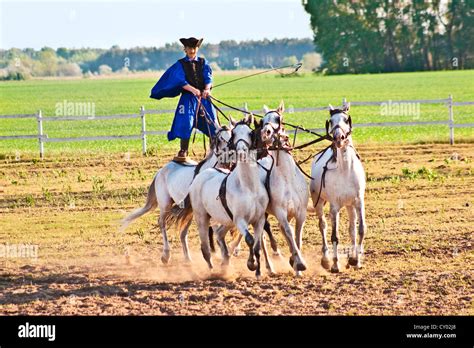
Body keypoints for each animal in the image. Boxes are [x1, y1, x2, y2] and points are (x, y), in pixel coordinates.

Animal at [119, 125, 232, 264]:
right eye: (221, 138)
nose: (231, 153)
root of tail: (161, 171)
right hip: (165, 204)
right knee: (162, 223)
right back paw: (166, 255)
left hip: (187, 210)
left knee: (183, 232)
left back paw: (187, 258)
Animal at [172, 115, 272, 278]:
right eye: (234, 134)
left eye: (250, 133)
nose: (241, 150)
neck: (248, 187)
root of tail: (200, 176)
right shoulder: (240, 220)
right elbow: (250, 240)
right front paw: (251, 264)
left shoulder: (259, 219)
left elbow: (257, 245)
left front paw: (258, 271)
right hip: (202, 217)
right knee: (205, 247)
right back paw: (212, 270)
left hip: (227, 221)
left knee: (219, 234)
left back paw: (225, 262)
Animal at [312, 102, 366, 274]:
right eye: (331, 120)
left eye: (346, 119)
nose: (338, 138)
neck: (345, 170)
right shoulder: (334, 207)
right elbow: (334, 236)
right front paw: (335, 265)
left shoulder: (358, 202)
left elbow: (361, 229)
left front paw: (356, 260)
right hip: (318, 202)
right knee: (323, 225)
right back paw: (326, 260)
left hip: (349, 205)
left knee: (352, 229)